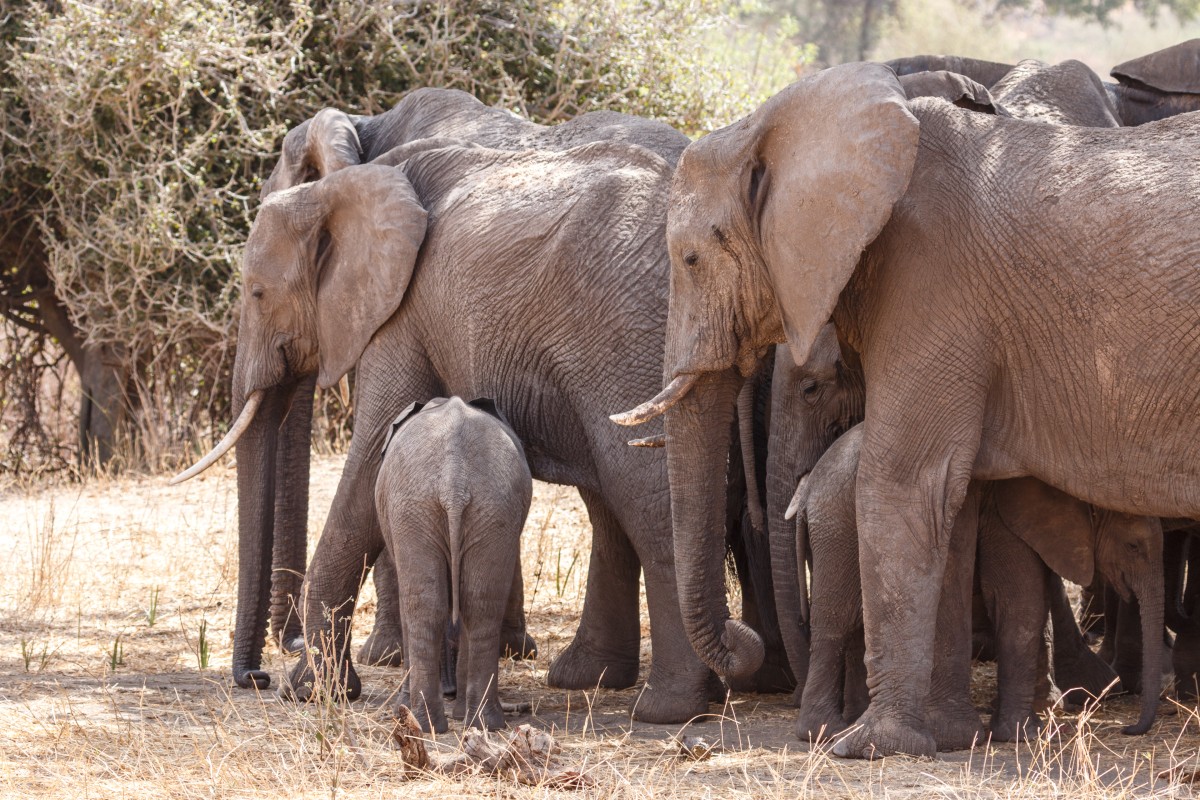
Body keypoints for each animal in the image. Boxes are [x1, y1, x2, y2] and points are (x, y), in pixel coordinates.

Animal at [372, 398, 528, 734]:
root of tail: (453, 480)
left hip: (416, 508)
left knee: (425, 608)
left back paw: (429, 721)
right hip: (489, 508)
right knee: (479, 605)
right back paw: (479, 723)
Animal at [614, 62, 1200, 758]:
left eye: (691, 258)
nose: (743, 643)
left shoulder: (932, 285)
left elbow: (901, 482)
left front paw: (868, 745)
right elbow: (952, 500)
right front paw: (949, 738)